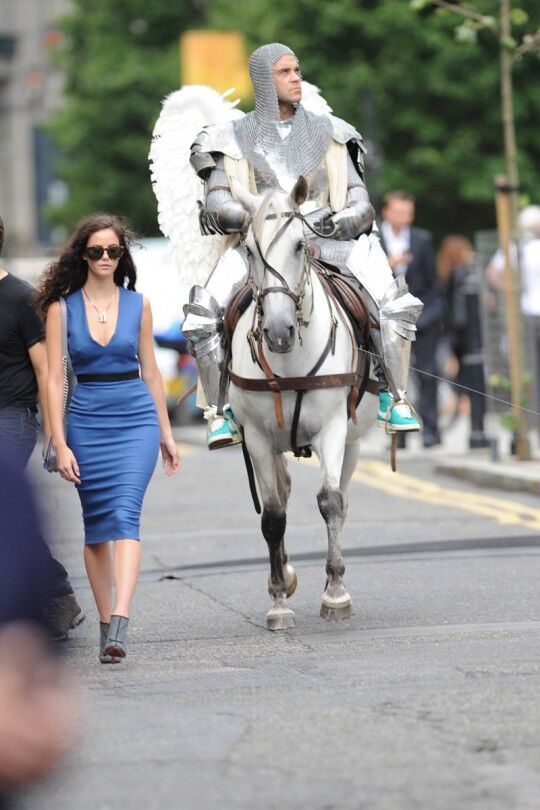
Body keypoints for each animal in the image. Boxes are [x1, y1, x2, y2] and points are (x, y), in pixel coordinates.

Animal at [229, 175, 380, 632]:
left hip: (352, 443)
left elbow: (330, 502)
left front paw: (336, 595)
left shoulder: (332, 429)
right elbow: (273, 516)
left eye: (299, 244)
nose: (279, 331)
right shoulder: (258, 439)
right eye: (249, 249)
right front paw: (279, 601)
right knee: (280, 494)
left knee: (340, 501)